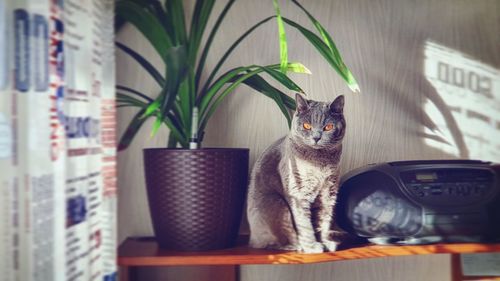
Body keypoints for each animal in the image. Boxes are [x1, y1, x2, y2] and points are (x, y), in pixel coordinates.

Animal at [248, 93, 346, 253]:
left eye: (328, 127)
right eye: (307, 126)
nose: (316, 137)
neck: (320, 162)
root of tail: (251, 239)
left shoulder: (329, 191)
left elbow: (324, 219)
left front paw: (326, 241)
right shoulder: (299, 191)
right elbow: (304, 223)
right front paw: (312, 247)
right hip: (278, 204)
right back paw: (297, 246)